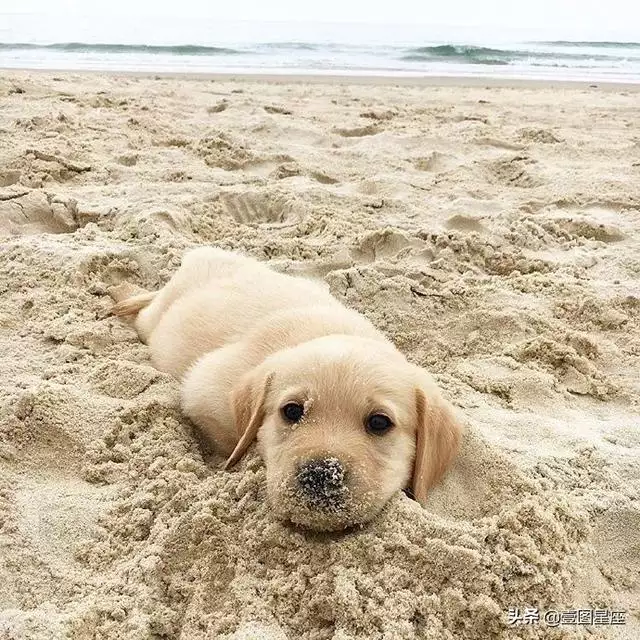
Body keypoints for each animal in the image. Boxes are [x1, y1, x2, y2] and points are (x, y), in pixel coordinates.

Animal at [110, 248, 460, 532]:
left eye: (379, 422)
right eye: (291, 411)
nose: (321, 474)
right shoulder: (202, 388)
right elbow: (229, 440)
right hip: (155, 322)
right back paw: (123, 293)